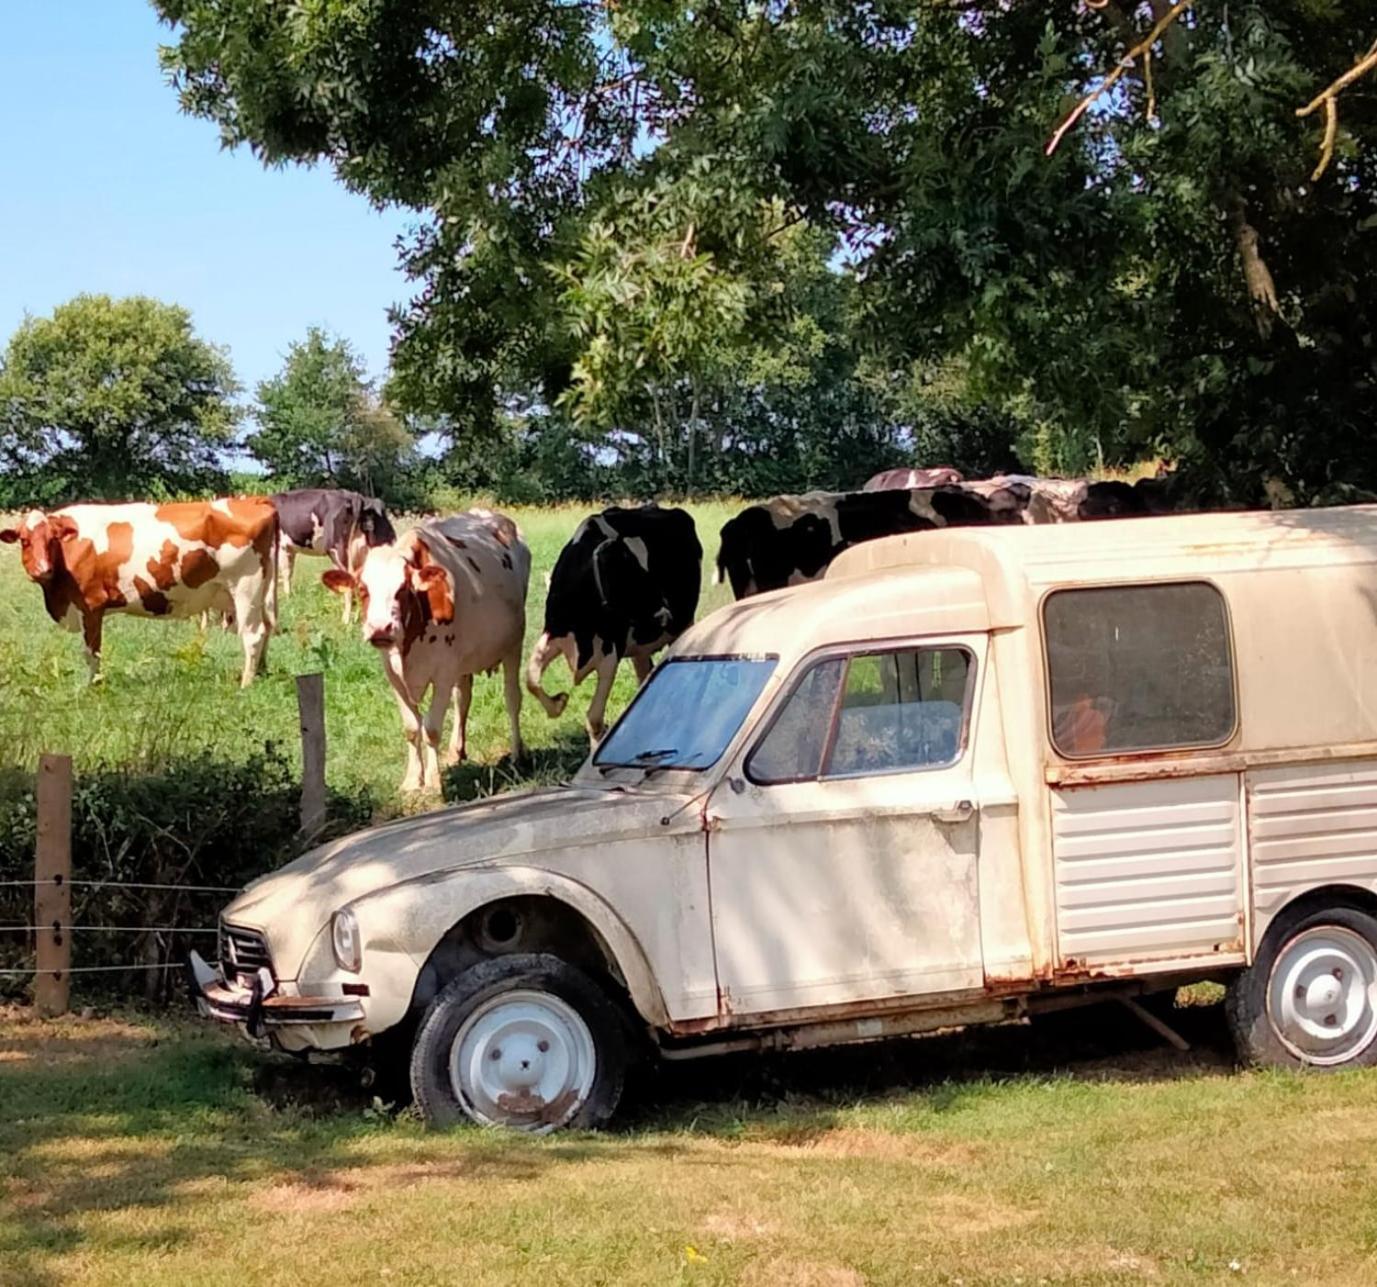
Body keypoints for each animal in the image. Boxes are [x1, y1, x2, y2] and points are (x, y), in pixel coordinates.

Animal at [0, 498, 279, 688]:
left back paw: (245, 683)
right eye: (24, 540)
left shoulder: (90, 604)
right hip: (257, 592)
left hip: (245, 588)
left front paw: (93, 686)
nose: (42, 570)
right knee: (266, 629)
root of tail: (254, 500)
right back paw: (261, 672)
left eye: (51, 540)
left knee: (253, 634)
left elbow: (92, 651)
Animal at [269, 487, 396, 624]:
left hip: (340, 551)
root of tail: (357, 497)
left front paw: (286, 598)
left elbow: (284, 574)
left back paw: (345, 620)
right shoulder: (290, 550)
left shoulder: (282, 547)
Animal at [326, 509, 531, 792]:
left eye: (402, 589)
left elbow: (431, 728)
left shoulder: (443, 673)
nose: (380, 629)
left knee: (512, 699)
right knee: (463, 698)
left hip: (513, 645)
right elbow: (412, 727)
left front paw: (433, 783)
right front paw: (413, 780)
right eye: (363, 589)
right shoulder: (394, 675)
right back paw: (456, 751)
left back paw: (517, 754)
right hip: (464, 661)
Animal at [523, 503, 705, 743]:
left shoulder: (610, 651)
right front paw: (558, 702)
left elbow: (594, 718)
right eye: (629, 574)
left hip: (685, 623)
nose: (665, 615)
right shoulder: (555, 634)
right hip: (641, 647)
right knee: (644, 674)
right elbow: (531, 678)